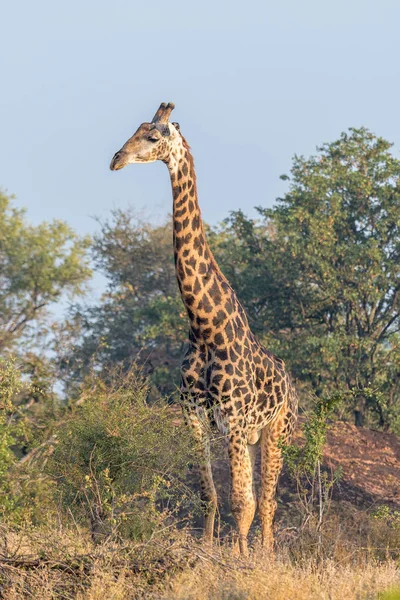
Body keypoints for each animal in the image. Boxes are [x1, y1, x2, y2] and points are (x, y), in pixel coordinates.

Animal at [109, 102, 296, 552]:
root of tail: (291, 382)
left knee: (267, 503)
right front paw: (209, 550)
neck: (205, 327)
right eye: (135, 130)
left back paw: (267, 556)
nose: (116, 159)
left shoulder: (234, 419)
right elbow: (209, 495)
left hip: (276, 431)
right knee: (258, 499)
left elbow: (243, 503)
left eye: (153, 136)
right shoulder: (196, 417)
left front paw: (240, 560)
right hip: (251, 435)